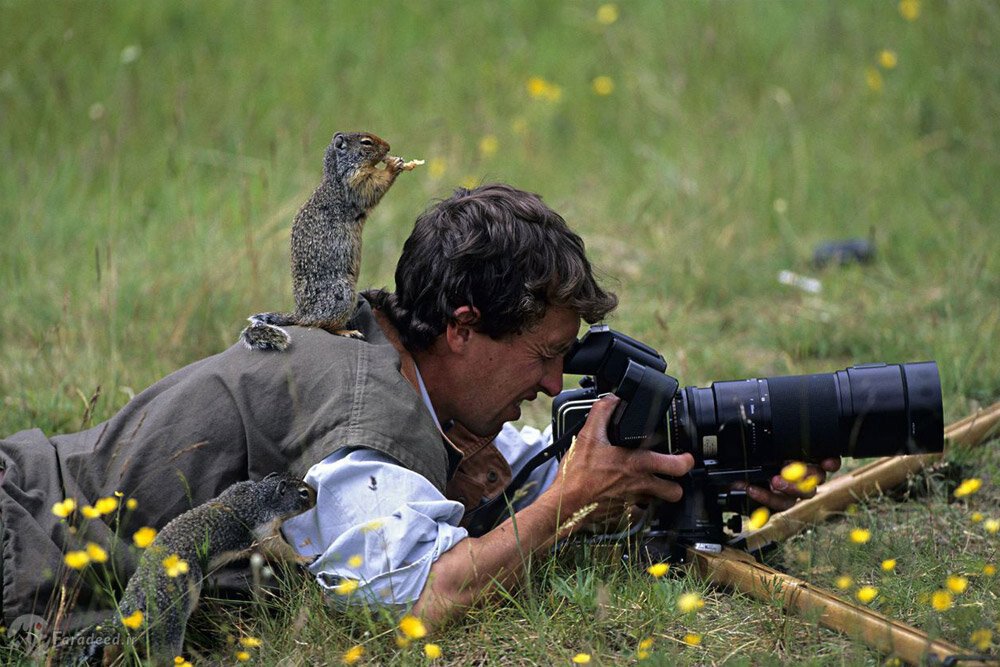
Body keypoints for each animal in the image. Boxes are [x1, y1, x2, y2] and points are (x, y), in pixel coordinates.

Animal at [57, 472, 312, 664]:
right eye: (303, 493)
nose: (316, 494)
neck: (260, 496)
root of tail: (129, 611)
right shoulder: (262, 530)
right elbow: (278, 549)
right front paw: (304, 557)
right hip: (170, 626)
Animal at [241, 129, 422, 350]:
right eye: (366, 142)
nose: (388, 147)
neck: (337, 173)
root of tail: (302, 314)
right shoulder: (355, 181)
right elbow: (373, 186)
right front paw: (393, 165)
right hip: (342, 294)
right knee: (324, 325)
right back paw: (347, 331)